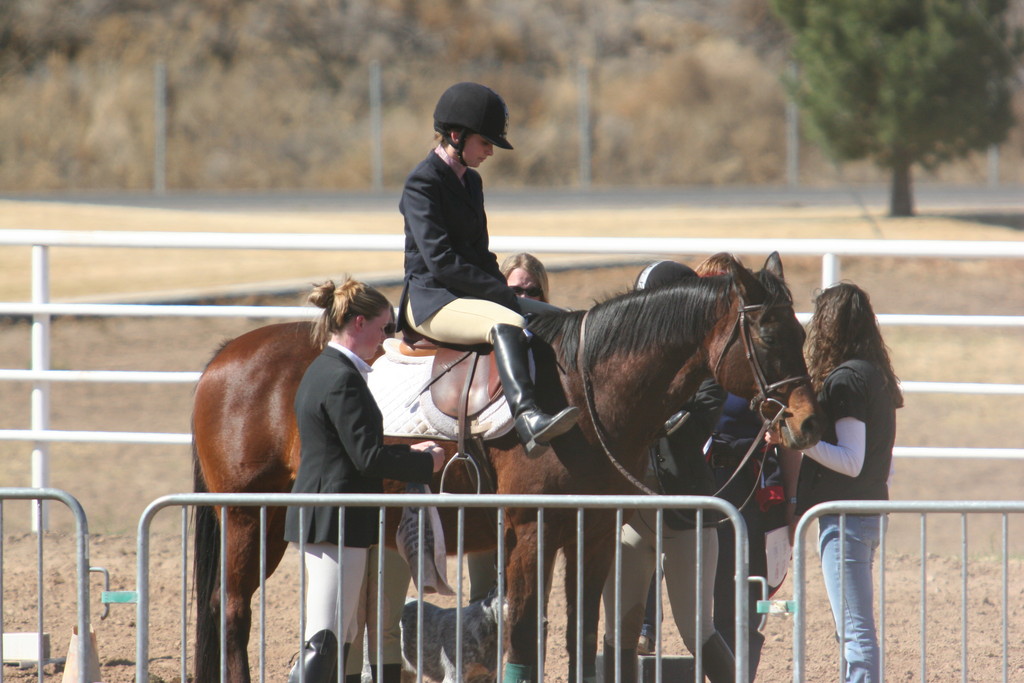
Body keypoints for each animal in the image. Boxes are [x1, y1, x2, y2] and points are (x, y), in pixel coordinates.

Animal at [188, 252, 819, 683]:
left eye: (802, 331)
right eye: (768, 334)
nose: (808, 423)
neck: (581, 388)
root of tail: (225, 357)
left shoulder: (591, 531)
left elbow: (579, 633)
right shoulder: (528, 529)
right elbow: (520, 633)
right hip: (251, 517)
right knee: (232, 611)